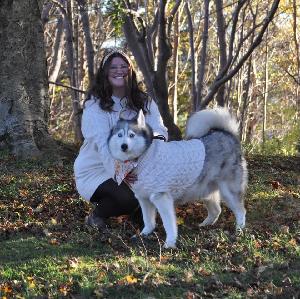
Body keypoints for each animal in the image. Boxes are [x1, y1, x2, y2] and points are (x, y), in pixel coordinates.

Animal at [107, 108, 246, 248]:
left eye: (131, 135)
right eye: (119, 135)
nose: (124, 146)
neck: (143, 157)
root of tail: (227, 134)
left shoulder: (161, 198)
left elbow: (169, 224)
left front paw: (170, 243)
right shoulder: (144, 198)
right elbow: (148, 220)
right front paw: (144, 234)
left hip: (228, 191)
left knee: (240, 211)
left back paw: (239, 230)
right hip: (205, 191)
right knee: (216, 210)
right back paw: (204, 225)